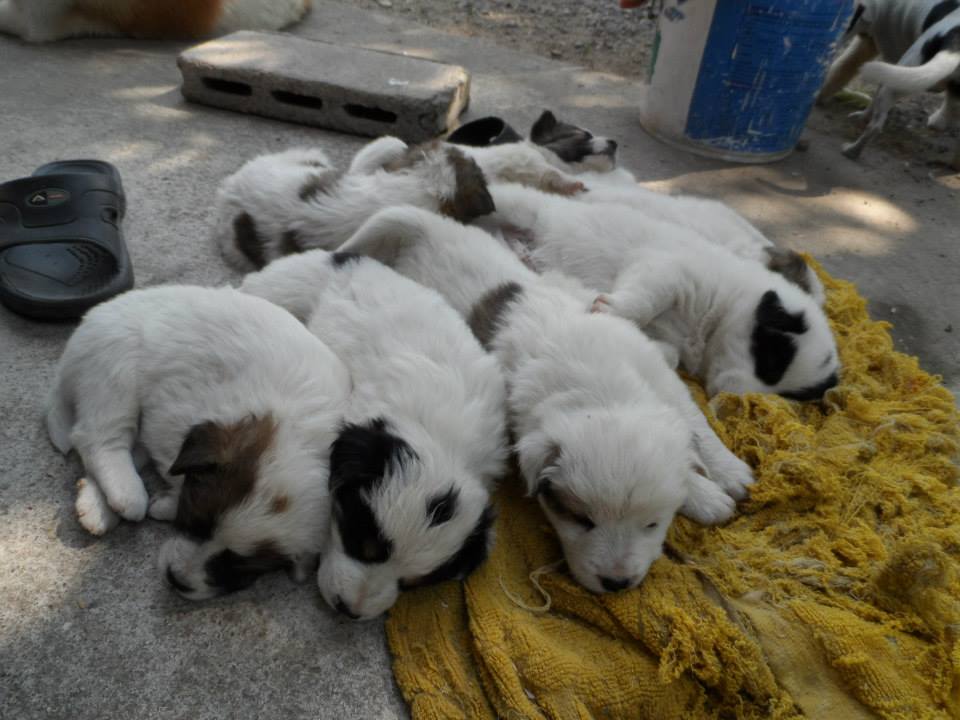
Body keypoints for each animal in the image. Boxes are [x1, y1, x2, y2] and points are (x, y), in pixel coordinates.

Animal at [46, 285, 350, 599]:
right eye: (196, 522)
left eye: (236, 566)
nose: (176, 579)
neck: (294, 435)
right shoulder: (171, 418)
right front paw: (165, 503)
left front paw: (164, 504)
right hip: (113, 371)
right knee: (97, 437)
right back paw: (128, 495)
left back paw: (96, 508)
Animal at [239, 250, 508, 619]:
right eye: (362, 544)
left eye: (409, 583)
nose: (349, 611)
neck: (442, 438)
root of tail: (345, 257)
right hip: (280, 289)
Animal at [336, 205, 754, 594]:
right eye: (581, 520)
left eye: (652, 524)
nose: (616, 584)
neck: (597, 387)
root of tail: (431, 227)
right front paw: (709, 496)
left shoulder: (658, 377)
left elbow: (693, 422)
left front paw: (726, 473)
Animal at [477, 183, 840, 400]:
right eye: (770, 361)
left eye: (784, 393)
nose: (730, 399)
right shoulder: (669, 270)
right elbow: (649, 297)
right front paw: (612, 310)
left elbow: (668, 350)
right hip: (521, 207)